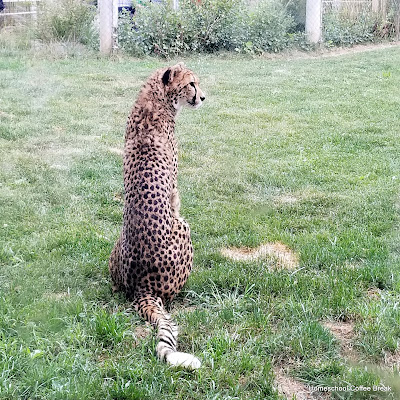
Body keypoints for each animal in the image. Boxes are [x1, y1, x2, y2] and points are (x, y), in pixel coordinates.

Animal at [108, 61, 205, 368]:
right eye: (191, 84)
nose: (203, 97)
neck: (155, 100)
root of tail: (143, 287)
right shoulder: (175, 192)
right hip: (184, 227)